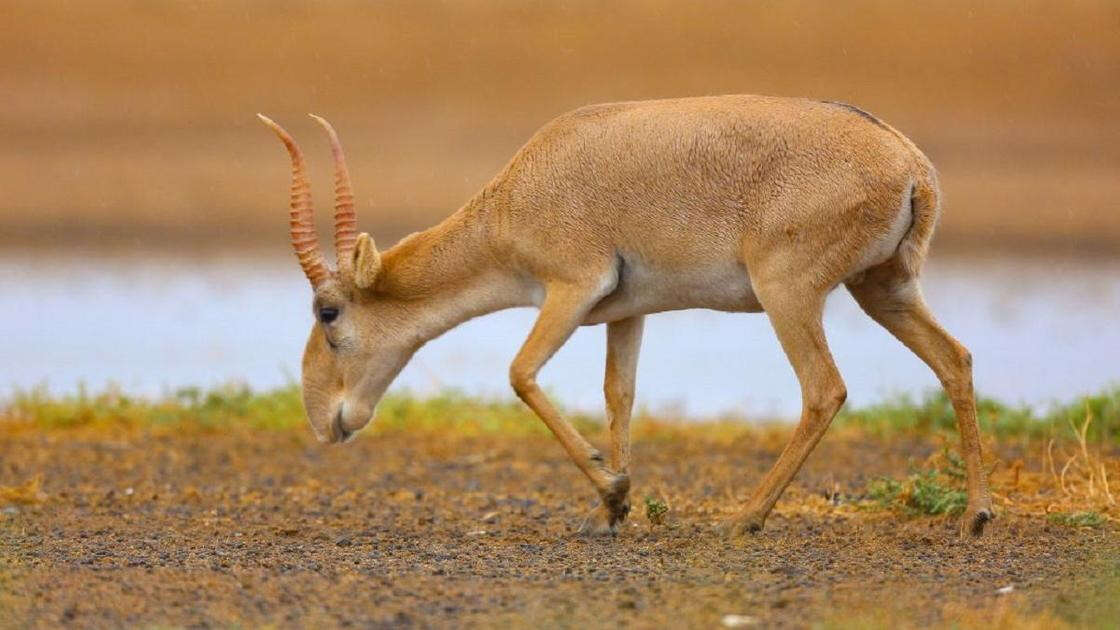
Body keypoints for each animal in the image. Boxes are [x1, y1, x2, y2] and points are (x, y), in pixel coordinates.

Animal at [257, 94, 994, 533]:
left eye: (328, 311)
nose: (325, 420)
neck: (519, 193)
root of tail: (911, 165)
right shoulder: (626, 313)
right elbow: (620, 394)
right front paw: (613, 509)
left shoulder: (569, 288)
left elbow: (519, 373)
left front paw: (613, 492)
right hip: (884, 288)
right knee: (956, 359)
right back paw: (976, 516)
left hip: (789, 295)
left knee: (824, 389)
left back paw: (745, 519)